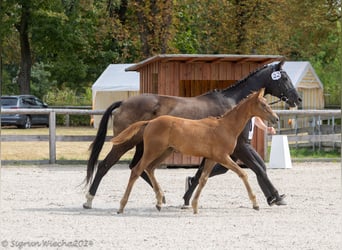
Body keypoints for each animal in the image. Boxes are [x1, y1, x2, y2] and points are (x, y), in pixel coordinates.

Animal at [111, 89, 278, 214]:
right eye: (263, 105)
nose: (276, 118)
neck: (225, 126)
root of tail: (150, 122)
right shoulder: (223, 157)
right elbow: (242, 173)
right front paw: (255, 203)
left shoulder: (212, 158)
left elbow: (203, 179)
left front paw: (195, 206)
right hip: (152, 151)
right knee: (137, 170)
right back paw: (121, 206)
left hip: (165, 151)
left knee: (150, 168)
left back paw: (159, 202)